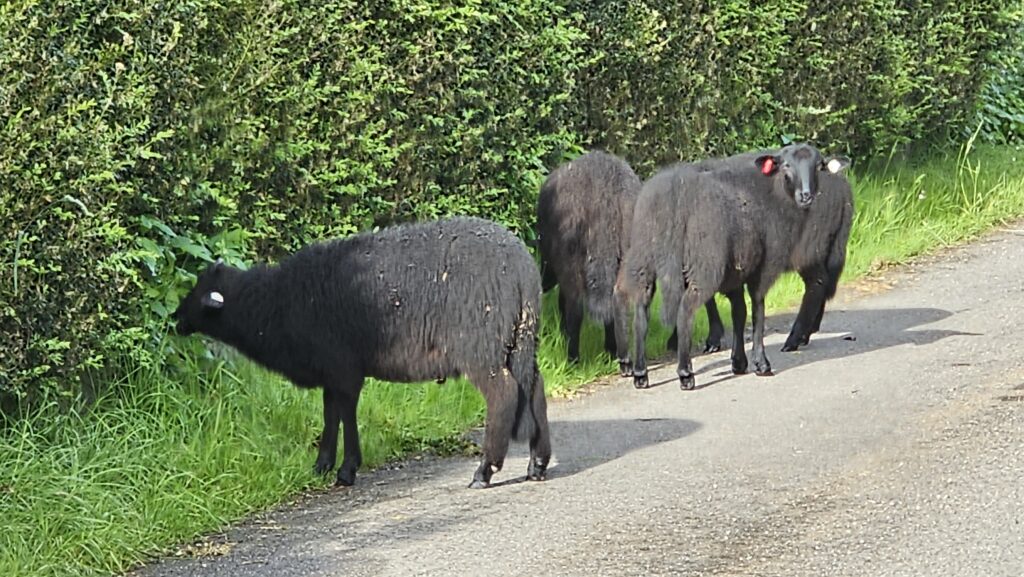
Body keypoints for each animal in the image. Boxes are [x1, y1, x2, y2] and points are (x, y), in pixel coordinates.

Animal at [173, 216, 551, 489]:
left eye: (199, 292)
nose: (175, 319)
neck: (274, 303)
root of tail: (523, 271)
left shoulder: (344, 369)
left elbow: (346, 414)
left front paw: (346, 470)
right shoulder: (330, 370)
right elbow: (330, 415)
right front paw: (321, 466)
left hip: (481, 345)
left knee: (504, 393)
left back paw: (484, 471)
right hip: (520, 340)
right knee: (535, 388)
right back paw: (537, 464)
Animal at [666, 150, 855, 353]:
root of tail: (842, 187)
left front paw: (710, 338)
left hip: (810, 246)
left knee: (818, 282)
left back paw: (794, 339)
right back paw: (807, 332)